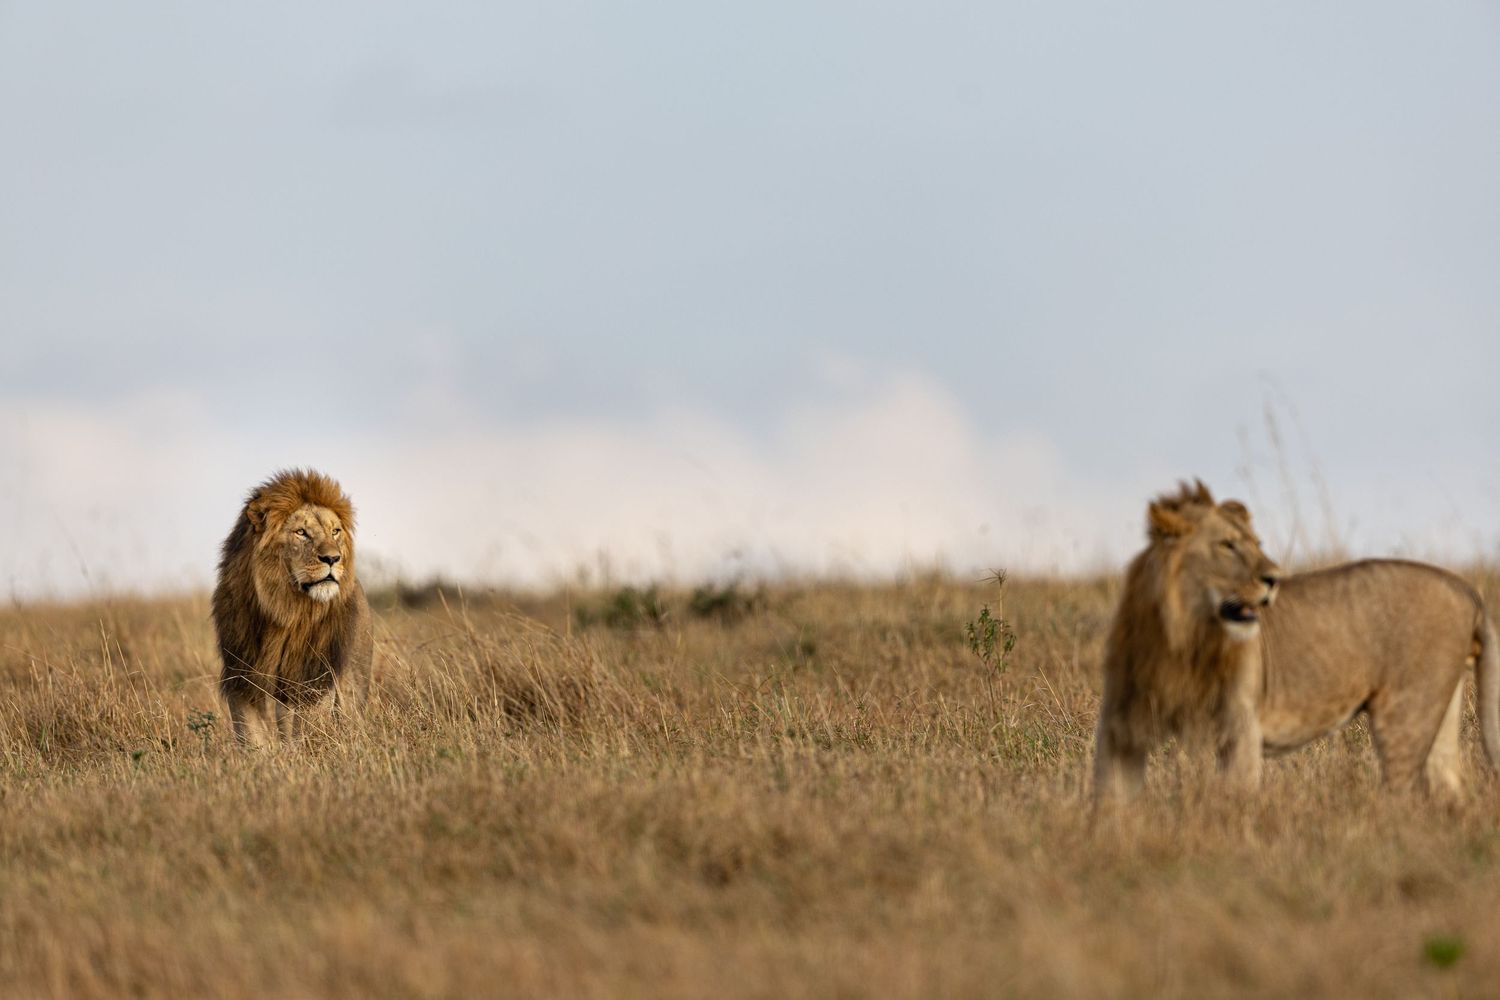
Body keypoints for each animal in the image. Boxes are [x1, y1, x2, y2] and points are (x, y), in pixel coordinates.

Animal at [212, 468, 373, 747]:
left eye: (335, 531)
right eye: (301, 532)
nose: (333, 558)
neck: (286, 609)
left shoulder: (312, 676)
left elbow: (308, 727)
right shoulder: (242, 675)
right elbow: (250, 733)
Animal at [1093, 481, 1500, 804]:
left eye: (1256, 544)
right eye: (1227, 545)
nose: (1274, 578)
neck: (1181, 635)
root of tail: (1466, 590)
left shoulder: (1240, 729)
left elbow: (1234, 800)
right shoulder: (1120, 725)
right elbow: (1108, 800)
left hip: (1405, 712)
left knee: (1403, 793)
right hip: (1440, 707)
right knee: (1448, 787)